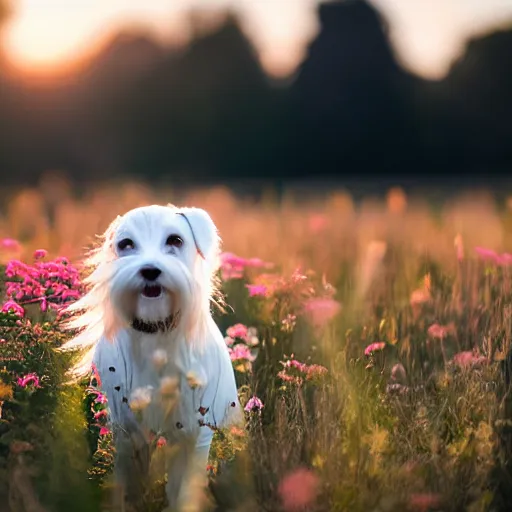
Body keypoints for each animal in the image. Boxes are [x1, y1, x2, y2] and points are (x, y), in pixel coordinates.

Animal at [61, 204, 241, 512]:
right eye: (126, 244)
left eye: (175, 240)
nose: (150, 270)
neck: (156, 331)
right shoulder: (128, 430)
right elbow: (129, 483)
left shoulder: (194, 431)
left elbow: (184, 488)